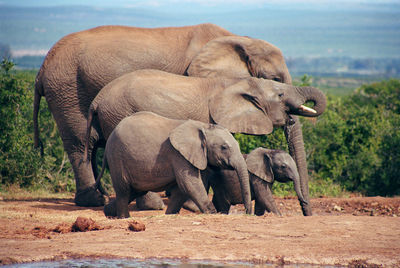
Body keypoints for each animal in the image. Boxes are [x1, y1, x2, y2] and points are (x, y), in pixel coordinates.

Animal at [95, 111, 252, 218]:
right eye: (224, 147)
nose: (247, 213)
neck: (203, 127)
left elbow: (182, 189)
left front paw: (169, 215)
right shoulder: (178, 154)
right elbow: (189, 183)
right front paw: (212, 213)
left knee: (133, 191)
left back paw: (108, 212)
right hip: (117, 157)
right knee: (123, 190)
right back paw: (124, 218)